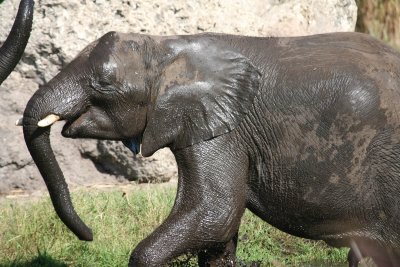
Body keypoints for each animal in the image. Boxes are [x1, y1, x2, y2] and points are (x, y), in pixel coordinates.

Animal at [19, 30, 400, 266]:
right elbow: (217, 234)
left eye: (103, 83)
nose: (89, 235)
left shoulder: (226, 129)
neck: (166, 47)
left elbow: (215, 211)